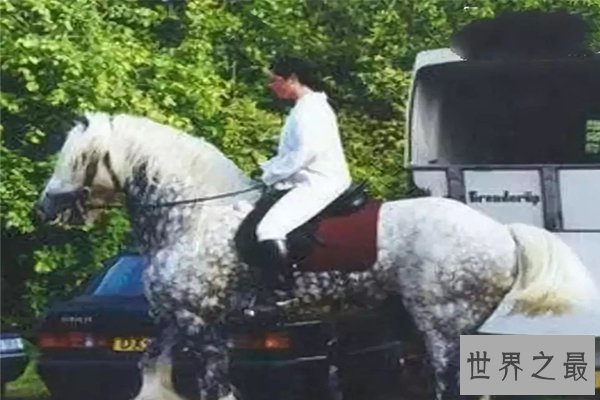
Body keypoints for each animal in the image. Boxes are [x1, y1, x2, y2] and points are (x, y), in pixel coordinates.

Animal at [36, 112, 600, 400]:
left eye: (78, 159)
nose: (44, 208)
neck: (192, 218)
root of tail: (501, 231)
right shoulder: (177, 317)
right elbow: (151, 370)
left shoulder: (202, 322)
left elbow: (215, 386)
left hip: (443, 319)